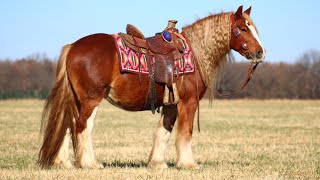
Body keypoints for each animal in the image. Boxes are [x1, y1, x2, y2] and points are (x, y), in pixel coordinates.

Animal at [38, 5, 266, 169]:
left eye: (253, 28)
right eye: (242, 28)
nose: (260, 52)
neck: (194, 53)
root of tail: (73, 47)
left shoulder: (171, 105)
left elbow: (164, 132)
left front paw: (158, 163)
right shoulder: (188, 102)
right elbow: (185, 133)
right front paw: (189, 164)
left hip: (76, 100)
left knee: (67, 126)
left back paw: (63, 163)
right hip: (91, 99)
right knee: (82, 127)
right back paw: (90, 164)